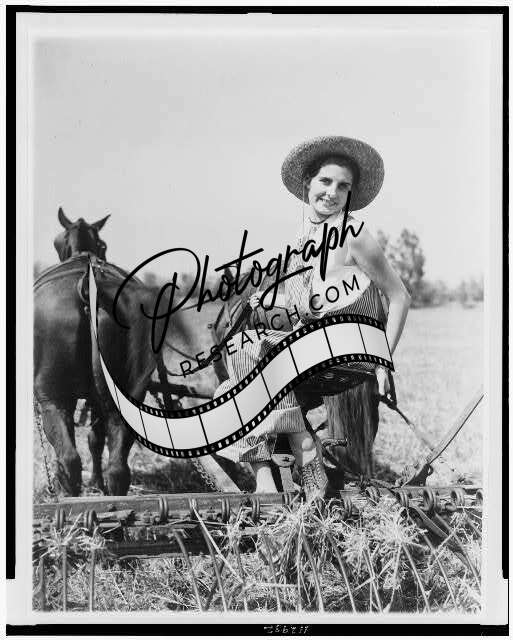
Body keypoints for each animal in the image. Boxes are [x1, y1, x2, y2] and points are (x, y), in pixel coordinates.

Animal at [34, 208, 165, 496]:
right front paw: (97, 481)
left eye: (57, 242)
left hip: (52, 396)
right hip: (129, 394)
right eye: (103, 245)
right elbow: (96, 439)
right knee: (118, 466)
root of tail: (88, 287)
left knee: (69, 459)